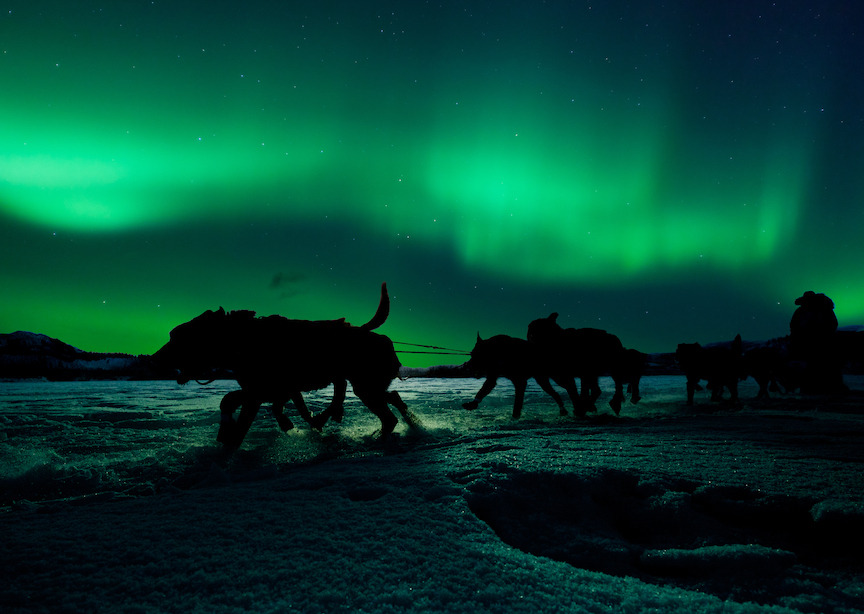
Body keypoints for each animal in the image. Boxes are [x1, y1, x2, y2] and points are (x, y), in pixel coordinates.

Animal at [154, 282, 414, 448]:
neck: (243, 340)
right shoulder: (264, 390)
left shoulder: (260, 392)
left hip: (365, 388)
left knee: (387, 416)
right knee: (392, 399)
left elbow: (240, 427)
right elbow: (229, 401)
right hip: (367, 387)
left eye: (176, 336)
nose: (155, 358)